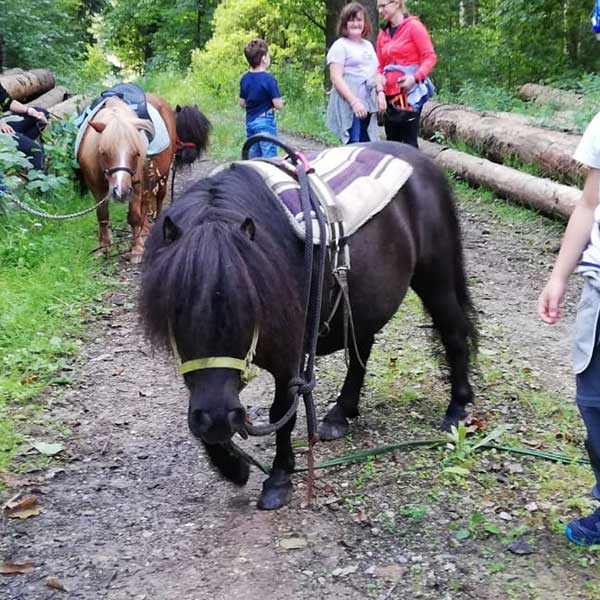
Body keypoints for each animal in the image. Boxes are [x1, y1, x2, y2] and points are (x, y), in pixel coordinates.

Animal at [77, 95, 210, 262]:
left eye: (136, 153)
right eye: (103, 152)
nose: (121, 192)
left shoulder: (136, 184)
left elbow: (134, 215)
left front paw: (137, 249)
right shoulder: (96, 188)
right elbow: (102, 215)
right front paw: (104, 247)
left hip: (160, 175)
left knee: (157, 198)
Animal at [139, 142, 478, 510]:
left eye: (249, 306)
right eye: (175, 308)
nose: (217, 420)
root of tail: (422, 162)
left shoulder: (289, 356)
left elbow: (282, 413)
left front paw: (278, 478)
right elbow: (204, 409)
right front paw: (234, 467)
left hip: (435, 279)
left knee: (453, 334)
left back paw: (457, 409)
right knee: (362, 349)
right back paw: (339, 414)